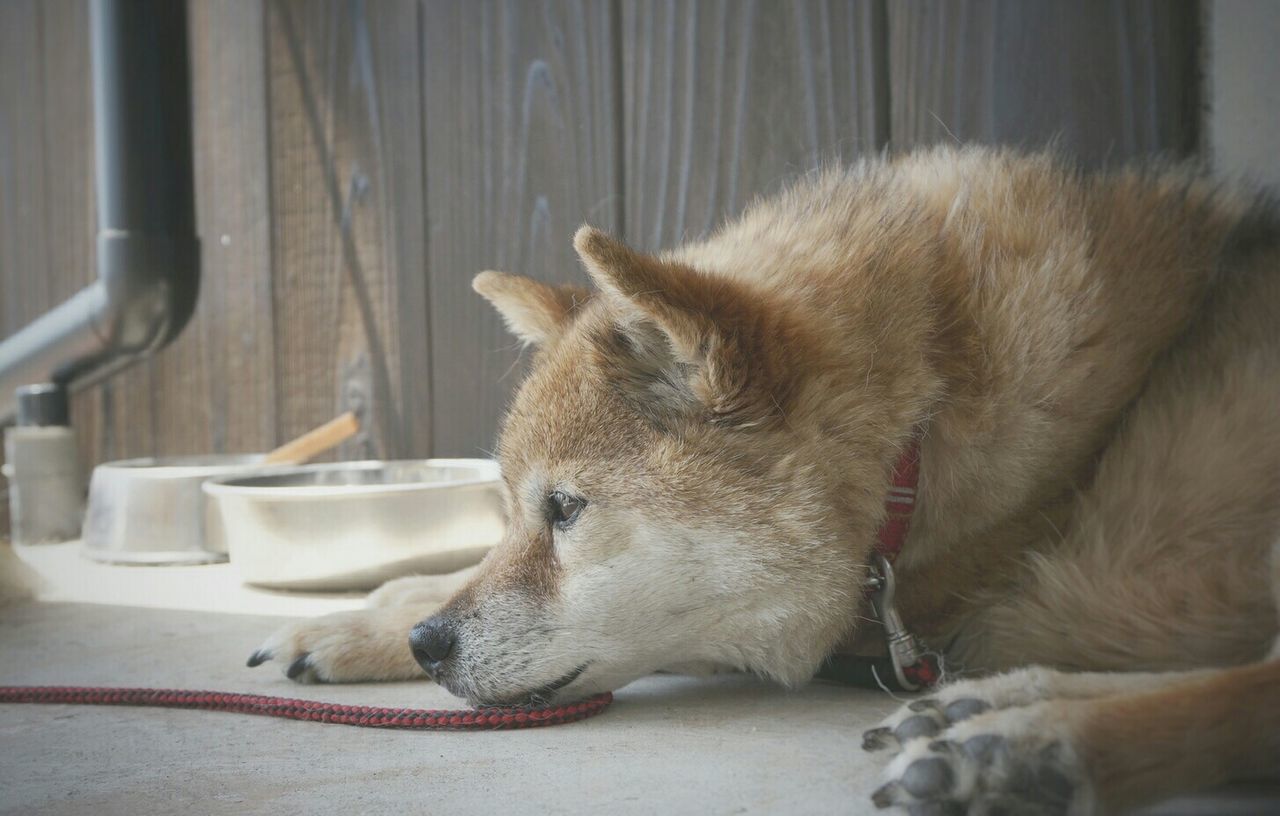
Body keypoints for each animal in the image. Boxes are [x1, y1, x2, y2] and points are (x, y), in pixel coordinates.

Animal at [249, 148, 1280, 816]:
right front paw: (361, 616)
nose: (428, 647)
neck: (925, 418)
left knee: (1246, 699)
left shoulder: (856, 627)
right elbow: (446, 572)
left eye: (567, 510)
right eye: (511, 511)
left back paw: (1027, 747)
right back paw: (993, 702)